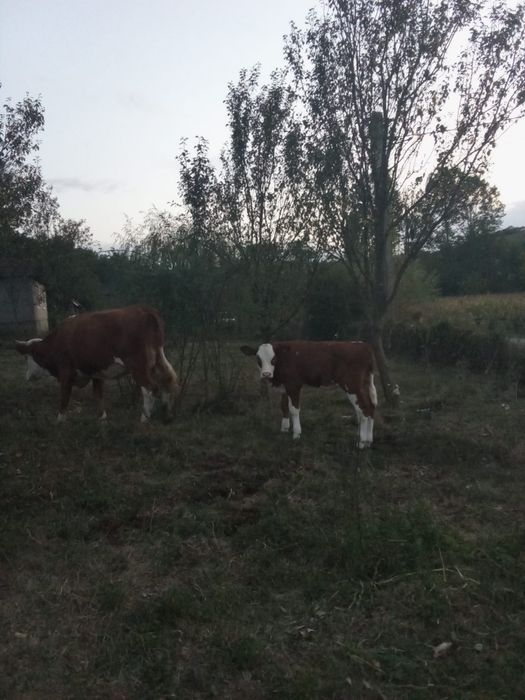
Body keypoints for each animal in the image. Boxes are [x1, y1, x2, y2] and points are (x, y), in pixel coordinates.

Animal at [15, 305, 179, 423]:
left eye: (27, 358)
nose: (27, 376)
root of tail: (144, 309)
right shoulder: (96, 373)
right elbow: (98, 395)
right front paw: (102, 418)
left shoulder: (65, 371)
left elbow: (64, 396)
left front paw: (60, 420)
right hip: (159, 358)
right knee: (168, 380)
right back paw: (168, 414)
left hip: (138, 365)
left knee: (150, 388)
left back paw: (144, 419)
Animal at [240, 340, 377, 448]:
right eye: (258, 359)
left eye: (273, 359)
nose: (266, 374)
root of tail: (364, 346)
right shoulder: (285, 387)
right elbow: (284, 406)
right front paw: (284, 429)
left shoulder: (293, 385)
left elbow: (294, 409)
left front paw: (296, 434)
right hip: (364, 383)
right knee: (370, 407)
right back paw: (369, 441)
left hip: (352, 385)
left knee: (363, 408)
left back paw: (362, 442)